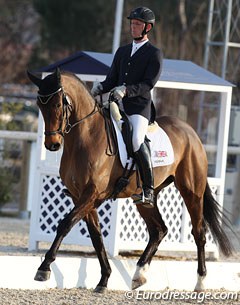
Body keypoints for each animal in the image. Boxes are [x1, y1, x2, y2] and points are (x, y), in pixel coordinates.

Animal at [27, 67, 232, 290]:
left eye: (57, 104)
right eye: (39, 105)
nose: (53, 144)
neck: (86, 137)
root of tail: (190, 131)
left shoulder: (91, 194)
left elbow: (65, 224)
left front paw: (43, 268)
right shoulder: (79, 196)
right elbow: (96, 236)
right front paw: (104, 279)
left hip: (192, 192)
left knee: (199, 233)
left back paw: (200, 282)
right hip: (144, 198)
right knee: (159, 230)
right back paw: (139, 274)